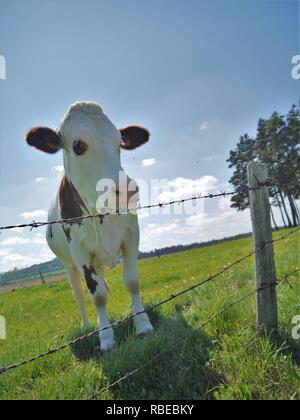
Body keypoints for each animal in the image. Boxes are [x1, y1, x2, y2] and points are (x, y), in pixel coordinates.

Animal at [24, 101, 154, 352]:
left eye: (119, 142)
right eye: (78, 145)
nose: (127, 191)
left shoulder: (132, 235)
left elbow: (132, 282)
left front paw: (142, 323)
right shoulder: (80, 251)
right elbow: (97, 296)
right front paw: (106, 338)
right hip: (69, 266)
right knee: (80, 294)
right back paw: (86, 326)